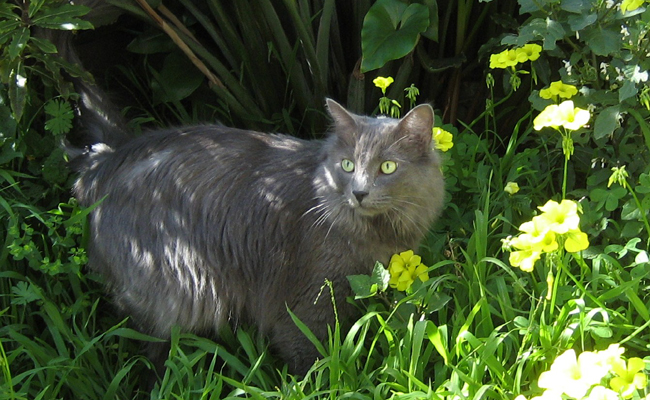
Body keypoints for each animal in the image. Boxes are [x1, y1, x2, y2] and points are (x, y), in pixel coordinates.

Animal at [71, 84, 442, 372]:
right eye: (348, 165)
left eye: (388, 167)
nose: (359, 192)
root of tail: (103, 163)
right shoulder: (306, 301)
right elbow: (312, 359)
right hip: (172, 292)